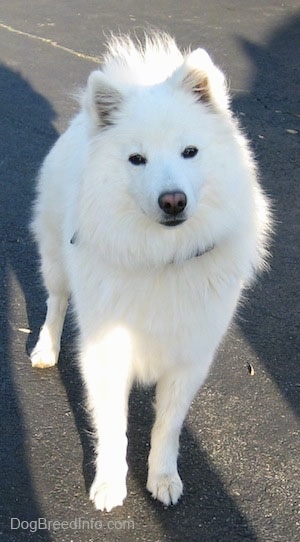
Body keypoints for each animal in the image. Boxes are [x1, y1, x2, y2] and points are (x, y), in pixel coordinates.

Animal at [30, 33, 272, 516]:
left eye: (190, 152)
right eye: (136, 159)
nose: (173, 200)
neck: (162, 258)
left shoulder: (189, 358)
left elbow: (167, 428)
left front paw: (162, 478)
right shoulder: (105, 352)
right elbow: (112, 428)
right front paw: (108, 483)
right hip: (55, 260)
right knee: (56, 300)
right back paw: (45, 347)